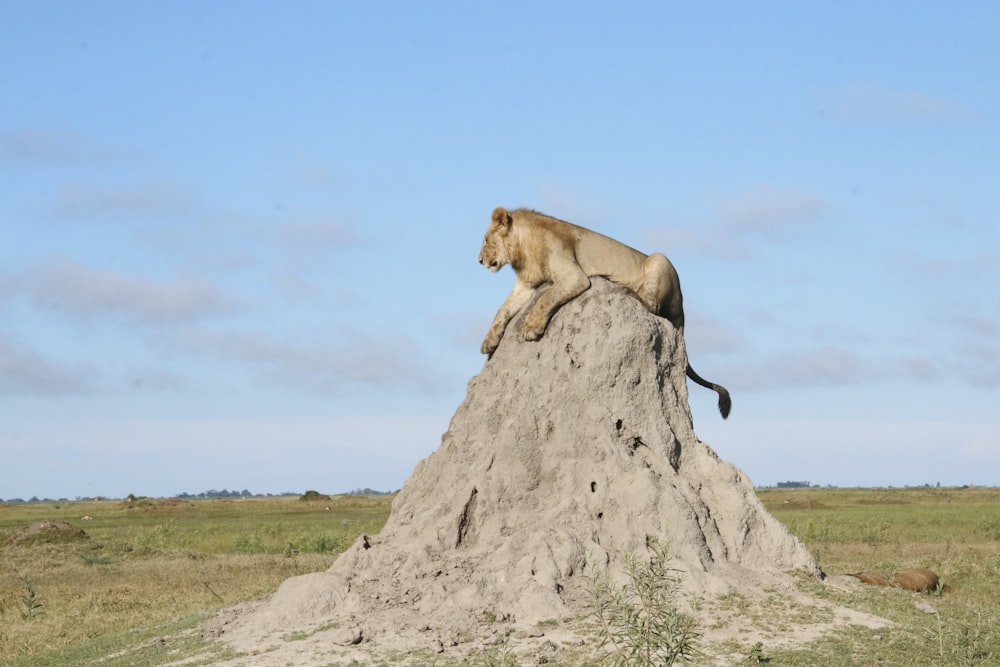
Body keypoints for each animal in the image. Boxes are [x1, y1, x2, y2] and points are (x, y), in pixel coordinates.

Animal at [480, 206, 732, 420]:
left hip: (659, 260)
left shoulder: (574, 276)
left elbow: (546, 298)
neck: (522, 251)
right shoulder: (525, 285)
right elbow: (502, 310)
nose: (480, 260)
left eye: (485, 240)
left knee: (653, 306)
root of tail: (682, 310)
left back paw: (625, 287)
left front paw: (532, 327)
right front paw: (489, 342)